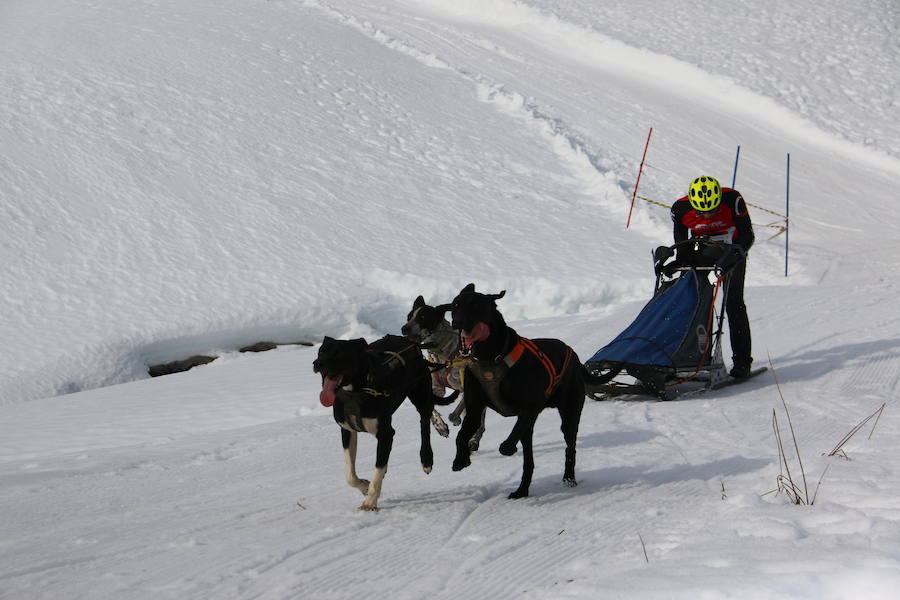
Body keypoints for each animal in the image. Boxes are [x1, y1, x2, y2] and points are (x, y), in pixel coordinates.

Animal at [316, 336, 458, 508]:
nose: (317, 363)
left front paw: (370, 503)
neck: (356, 392)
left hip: (420, 393)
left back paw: (427, 456)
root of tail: (412, 343)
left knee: (424, 423)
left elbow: (378, 469)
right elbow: (350, 475)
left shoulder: (386, 434)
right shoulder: (347, 430)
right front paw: (364, 486)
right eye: (321, 351)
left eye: (338, 353)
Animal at [402, 296, 486, 450]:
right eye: (409, 317)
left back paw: (473, 439)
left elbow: (458, 412)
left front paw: (455, 418)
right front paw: (440, 426)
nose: (404, 328)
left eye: (423, 317)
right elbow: (432, 411)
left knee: (480, 424)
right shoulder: (436, 389)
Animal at [444, 284, 588, 500]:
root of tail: (573, 354)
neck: (489, 358)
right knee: (529, 460)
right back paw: (522, 490)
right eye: (456, 305)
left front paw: (507, 448)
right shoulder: (475, 408)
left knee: (569, 447)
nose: (458, 322)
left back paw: (569, 479)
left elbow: (511, 436)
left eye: (476, 305)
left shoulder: (531, 407)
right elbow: (461, 435)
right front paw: (461, 459)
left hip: (569, 413)